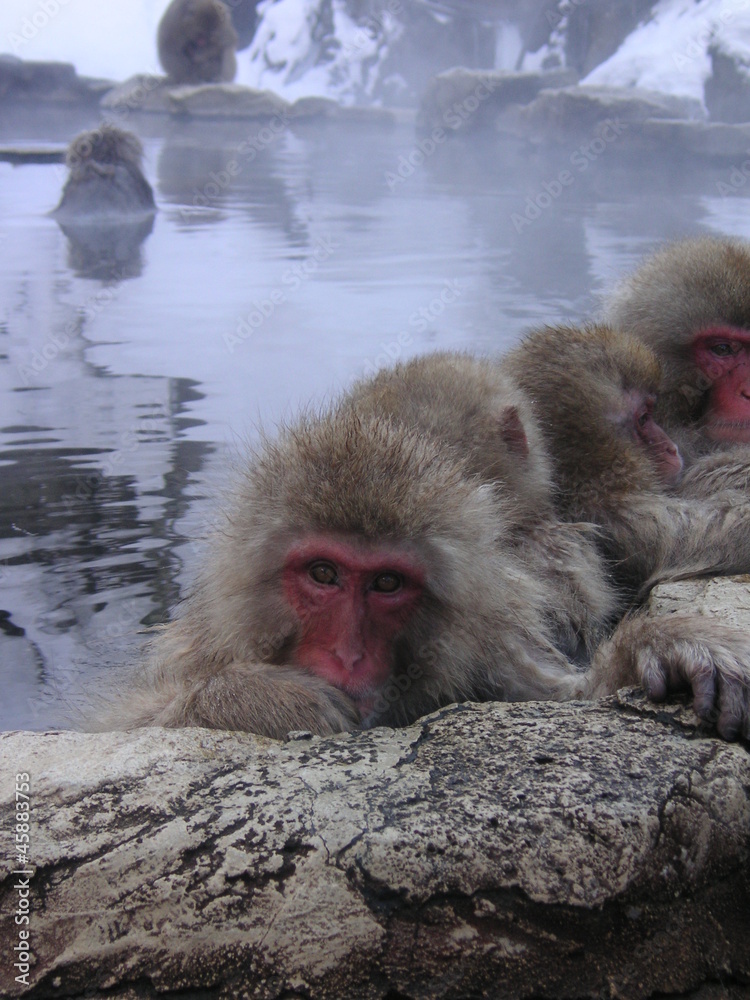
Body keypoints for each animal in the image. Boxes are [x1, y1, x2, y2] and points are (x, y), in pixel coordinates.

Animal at [104, 375, 750, 741]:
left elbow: (566, 696)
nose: (348, 655)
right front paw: (262, 699)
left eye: (387, 583)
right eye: (323, 574)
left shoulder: (491, 648)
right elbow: (126, 724)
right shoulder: (198, 648)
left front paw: (665, 645)